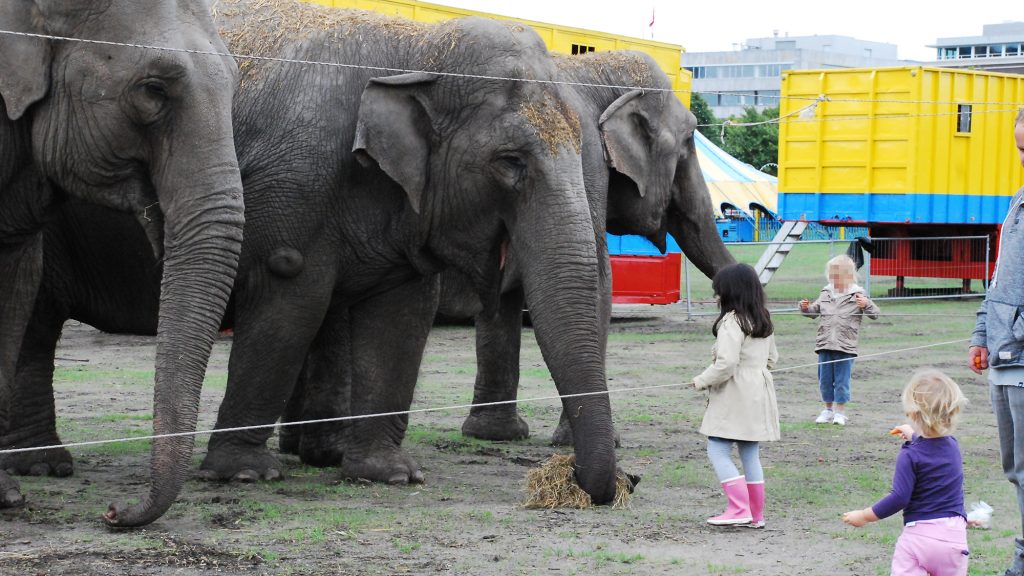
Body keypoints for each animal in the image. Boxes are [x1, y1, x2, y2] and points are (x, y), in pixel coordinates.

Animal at [276, 49, 733, 450]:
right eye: (688, 143)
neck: (593, 68)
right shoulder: (584, 162)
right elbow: (597, 282)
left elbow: (509, 295)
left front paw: (493, 435)